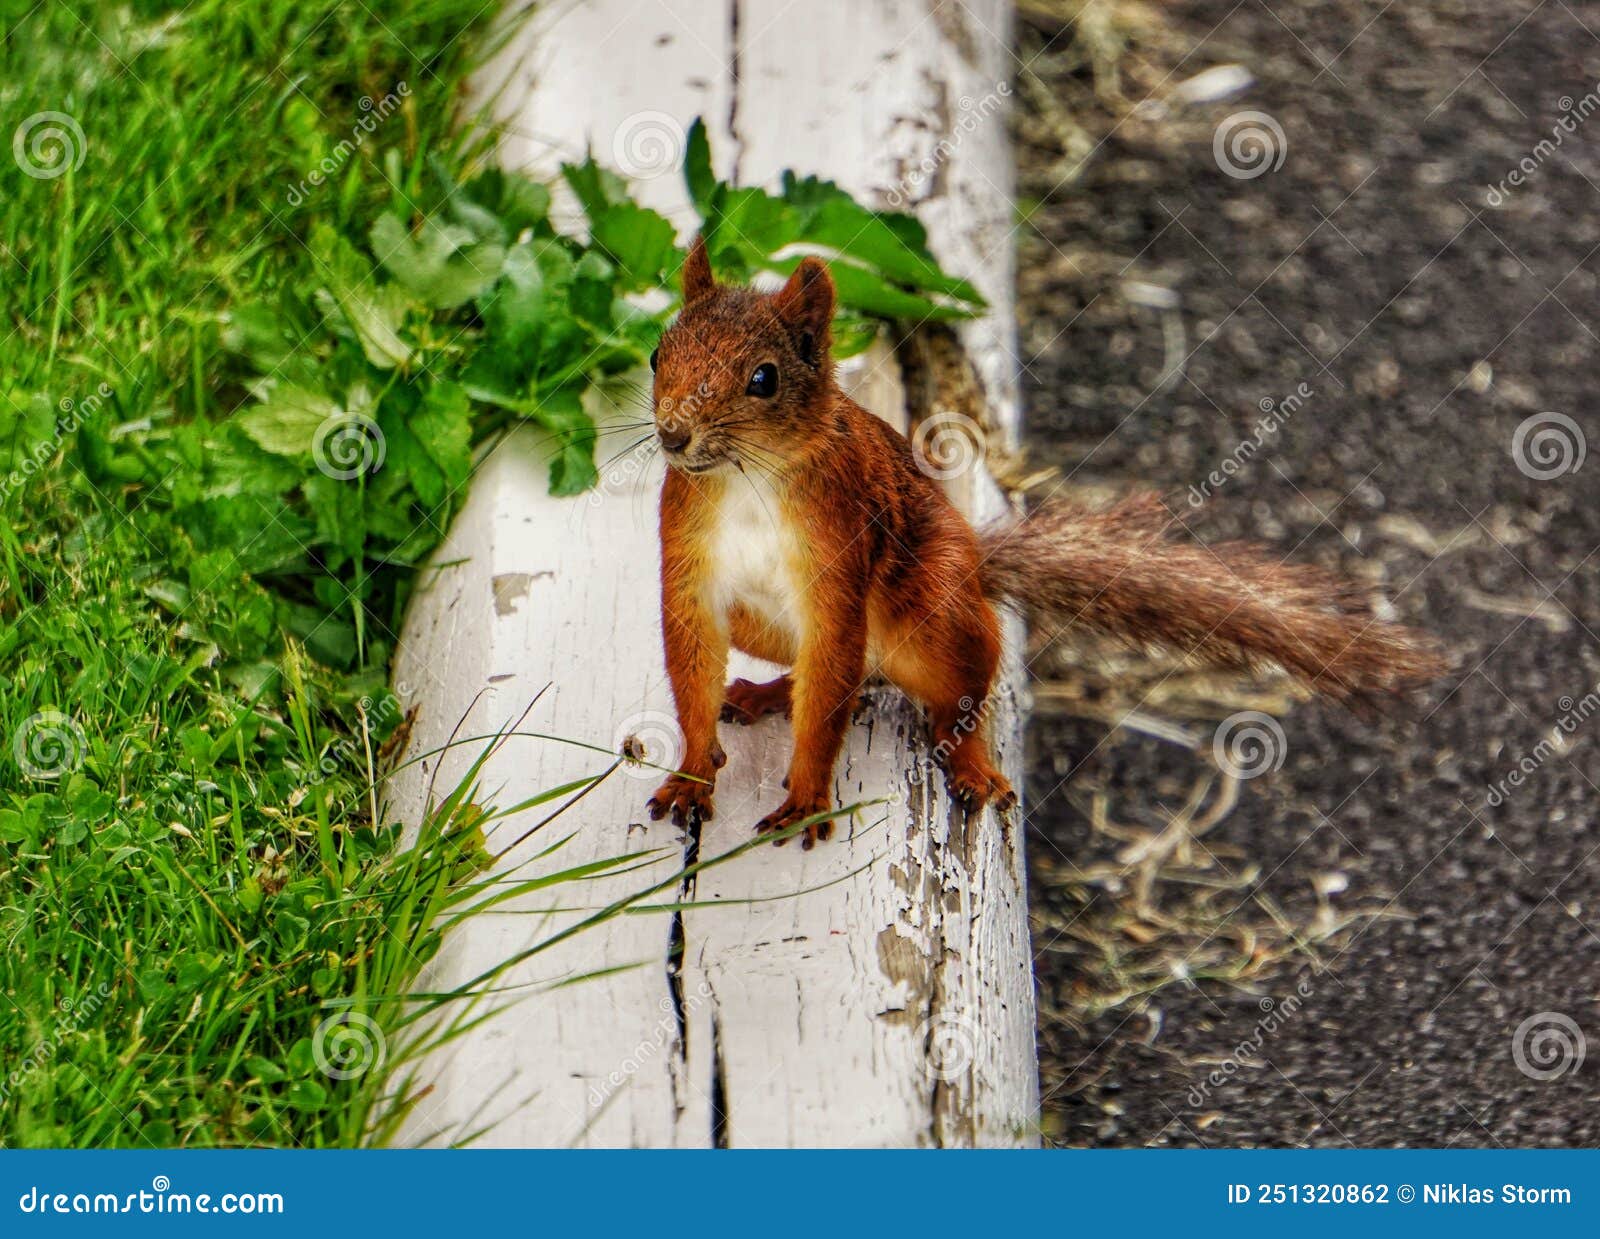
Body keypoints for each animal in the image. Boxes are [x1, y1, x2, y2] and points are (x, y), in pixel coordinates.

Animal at [645, 237, 1444, 848]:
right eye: (657, 354)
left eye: (764, 378)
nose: (673, 436)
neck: (748, 480)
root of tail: (976, 565)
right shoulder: (689, 562)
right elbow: (692, 661)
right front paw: (691, 775)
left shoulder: (839, 556)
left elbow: (830, 691)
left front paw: (807, 796)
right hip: (767, 622)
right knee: (844, 674)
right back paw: (759, 693)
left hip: (935, 606)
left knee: (948, 692)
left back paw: (970, 762)